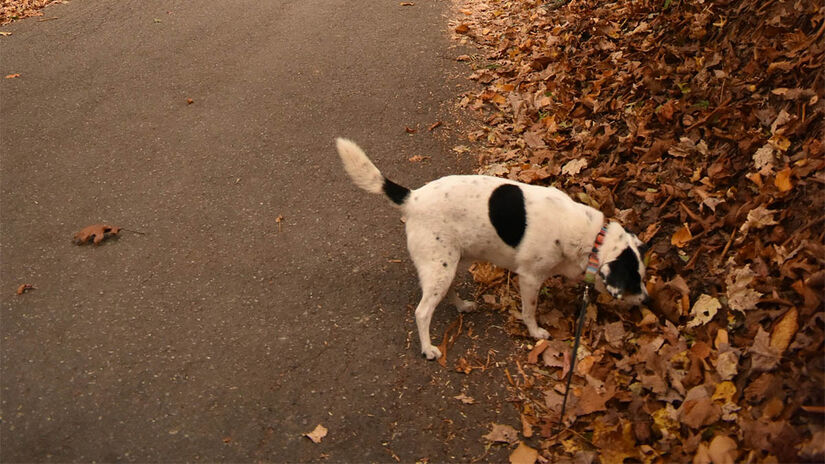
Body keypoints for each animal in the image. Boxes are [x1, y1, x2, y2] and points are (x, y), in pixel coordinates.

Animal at [334, 138, 652, 358]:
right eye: (633, 280)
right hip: (440, 267)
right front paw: (536, 332)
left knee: (447, 292)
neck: (589, 236)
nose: (648, 301)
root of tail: (412, 198)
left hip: (452, 263)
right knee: (422, 312)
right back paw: (428, 349)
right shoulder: (530, 278)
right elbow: (529, 311)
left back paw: (462, 306)